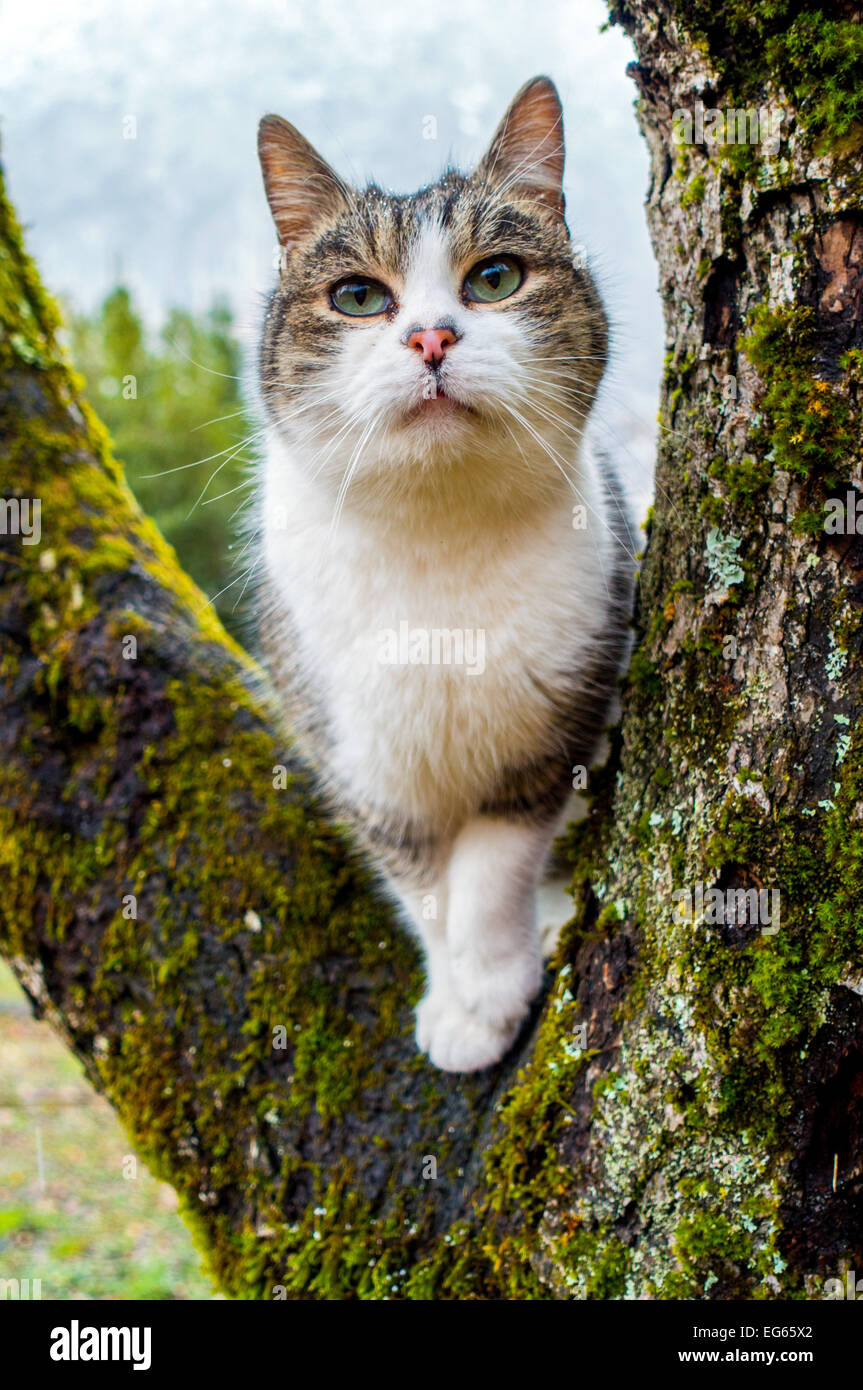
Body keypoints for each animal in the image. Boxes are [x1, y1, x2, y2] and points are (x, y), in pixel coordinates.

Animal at [248, 76, 633, 1073]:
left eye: (494, 278)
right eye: (357, 297)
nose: (429, 338)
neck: (435, 538)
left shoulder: (554, 730)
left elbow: (492, 869)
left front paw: (489, 987)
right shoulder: (360, 763)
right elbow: (422, 887)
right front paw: (458, 999)